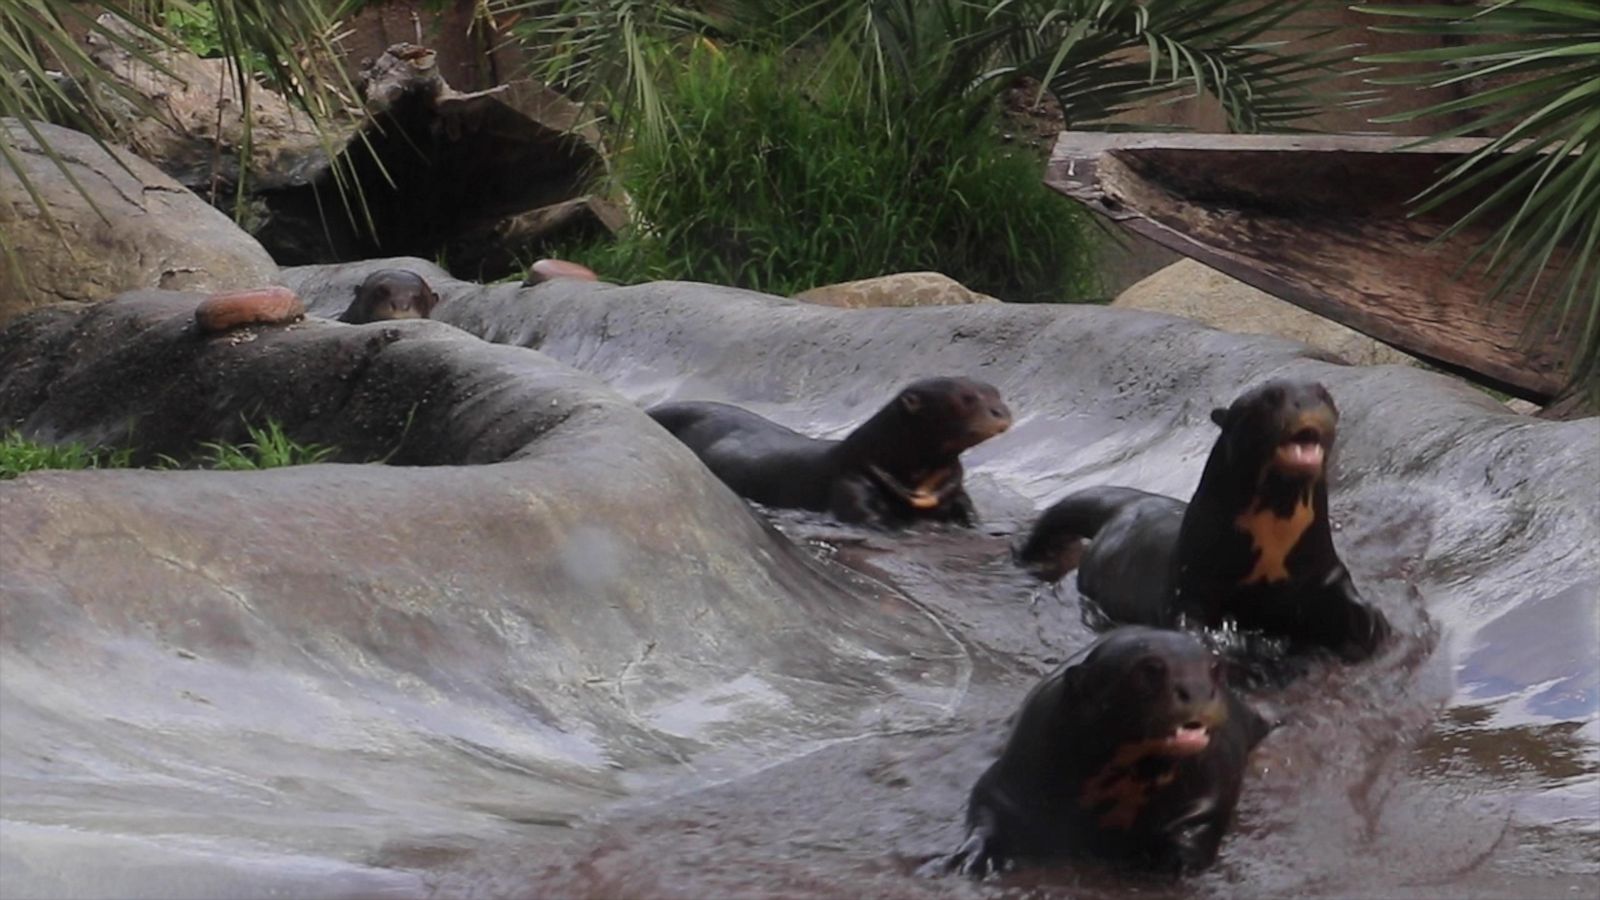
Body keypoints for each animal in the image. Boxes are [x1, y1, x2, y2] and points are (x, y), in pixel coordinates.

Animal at [940, 627, 1267, 871]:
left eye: (1215, 669)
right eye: (1151, 669)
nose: (1198, 690)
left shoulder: (1214, 785)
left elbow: (1203, 821)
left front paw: (1179, 861)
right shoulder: (1019, 765)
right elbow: (987, 800)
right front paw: (974, 854)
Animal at [1017, 377, 1395, 659]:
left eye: (1323, 394)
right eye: (1271, 397)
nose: (1307, 402)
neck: (1270, 553)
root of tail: (1131, 503)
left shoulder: (1321, 569)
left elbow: (1345, 595)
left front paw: (1371, 623)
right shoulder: (1191, 584)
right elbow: (1189, 620)